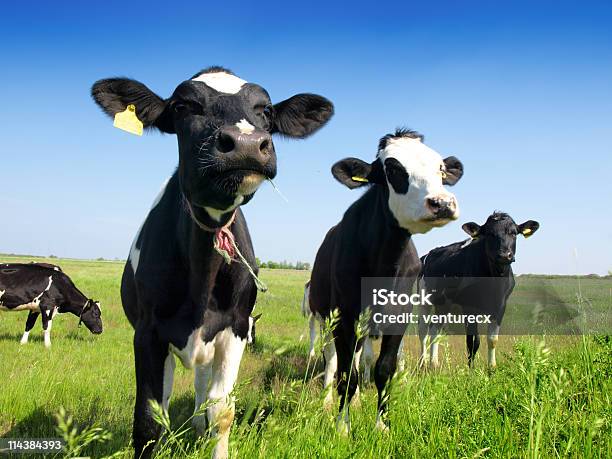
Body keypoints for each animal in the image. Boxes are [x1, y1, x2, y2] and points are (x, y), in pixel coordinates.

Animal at [89, 65, 334, 459]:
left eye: (265, 110)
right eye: (183, 106)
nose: (247, 143)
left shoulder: (235, 327)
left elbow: (221, 409)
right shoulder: (147, 333)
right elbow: (149, 418)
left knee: (203, 393)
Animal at [308, 128, 462, 432]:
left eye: (440, 168)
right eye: (393, 169)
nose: (442, 203)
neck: (383, 265)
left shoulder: (398, 316)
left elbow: (384, 369)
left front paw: (382, 425)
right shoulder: (343, 316)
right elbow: (346, 375)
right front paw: (342, 427)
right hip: (326, 318)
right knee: (331, 360)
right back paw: (328, 401)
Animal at [416, 213, 540, 370]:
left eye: (513, 233)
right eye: (489, 234)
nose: (504, 255)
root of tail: (428, 254)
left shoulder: (500, 306)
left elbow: (492, 339)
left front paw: (491, 368)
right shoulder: (469, 307)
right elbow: (472, 341)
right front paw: (471, 369)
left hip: (444, 304)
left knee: (434, 329)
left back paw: (434, 363)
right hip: (424, 300)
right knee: (423, 330)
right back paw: (422, 363)